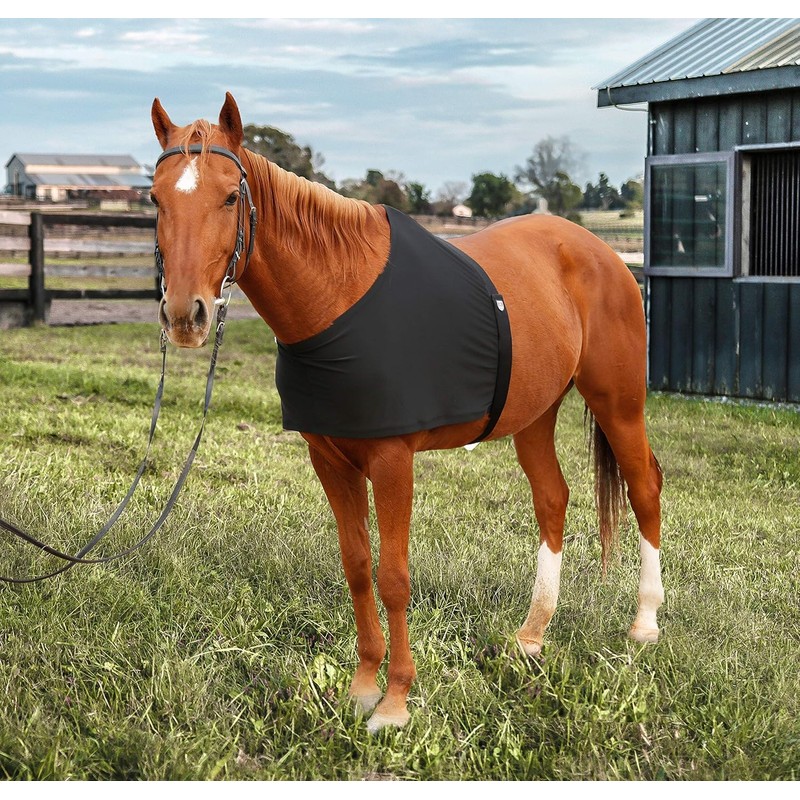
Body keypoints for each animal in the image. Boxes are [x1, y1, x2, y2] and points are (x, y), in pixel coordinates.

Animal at [150, 93, 664, 734]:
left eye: (228, 196)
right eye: (156, 198)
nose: (185, 316)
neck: (339, 297)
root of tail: (601, 252)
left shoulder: (394, 462)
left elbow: (394, 578)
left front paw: (394, 703)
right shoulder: (330, 461)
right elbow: (357, 567)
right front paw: (363, 687)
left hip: (619, 404)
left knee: (644, 488)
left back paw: (644, 624)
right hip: (534, 417)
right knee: (553, 498)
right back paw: (531, 636)